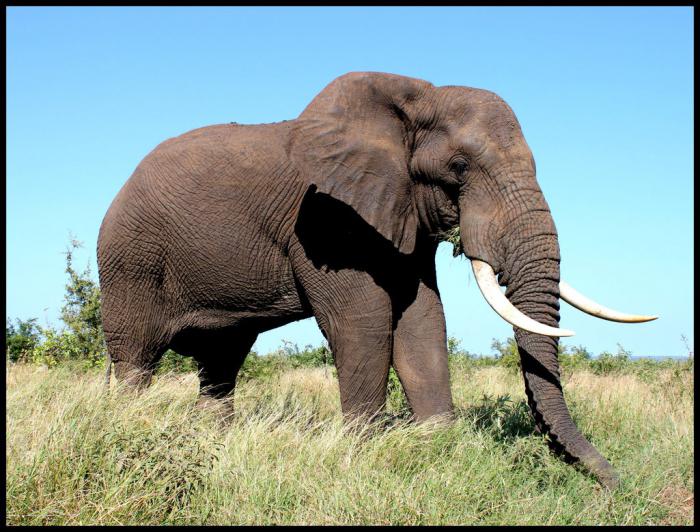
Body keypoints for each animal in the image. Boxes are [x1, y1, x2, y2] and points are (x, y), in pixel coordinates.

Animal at [98, 71, 656, 490]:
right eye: (459, 167)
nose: (616, 486)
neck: (414, 98)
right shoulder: (325, 218)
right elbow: (364, 324)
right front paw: (364, 455)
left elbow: (423, 322)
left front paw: (438, 450)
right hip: (129, 261)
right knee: (136, 359)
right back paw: (130, 429)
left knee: (221, 365)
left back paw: (215, 444)